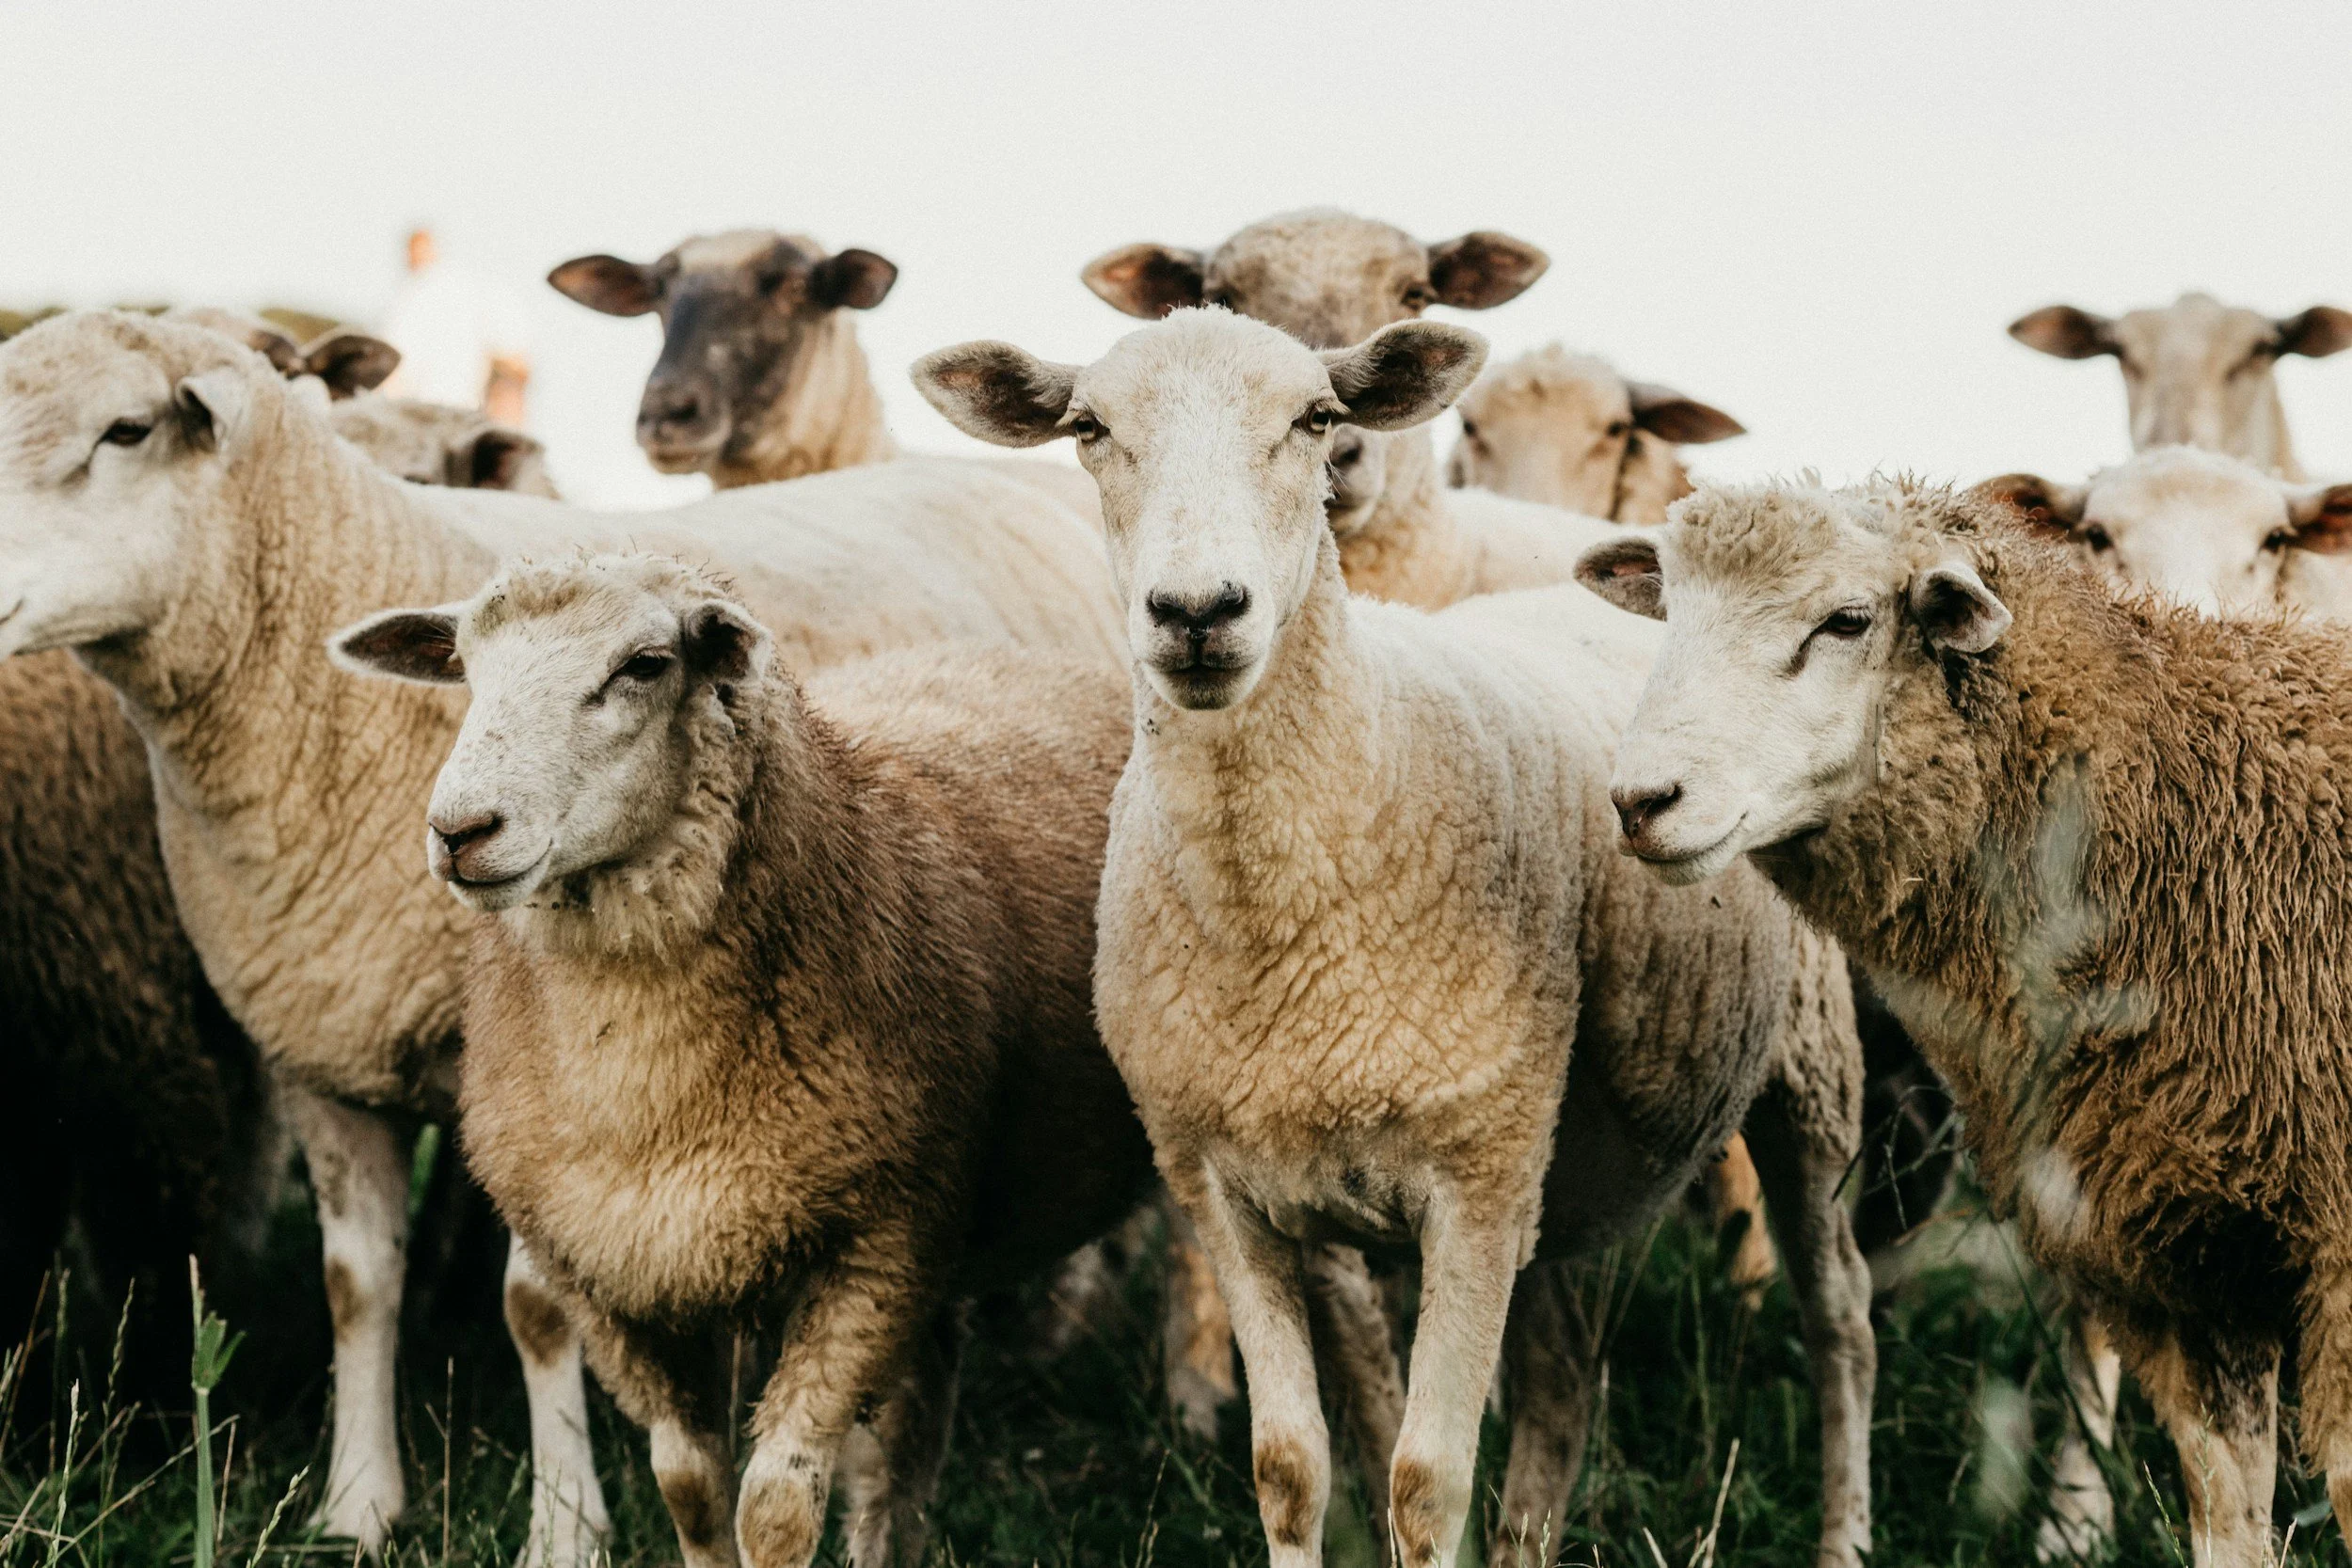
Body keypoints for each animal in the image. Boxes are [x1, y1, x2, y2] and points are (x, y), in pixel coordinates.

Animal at [330, 552, 1157, 1568]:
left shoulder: (875, 1249)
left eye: (644, 664)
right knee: (917, 1424)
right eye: (465, 664)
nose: (459, 829)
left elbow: (775, 1503)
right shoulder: (623, 1275)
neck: (648, 1088)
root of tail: (1027, 660)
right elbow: (690, 1486)